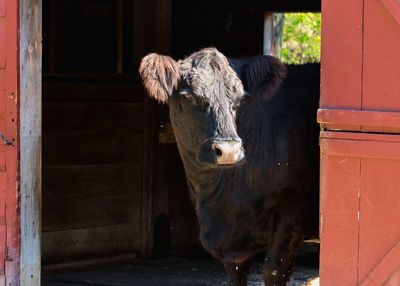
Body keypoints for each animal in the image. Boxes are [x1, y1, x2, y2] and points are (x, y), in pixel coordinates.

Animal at [139, 48, 320, 284]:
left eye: (241, 98)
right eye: (188, 96)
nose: (229, 150)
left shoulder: (291, 212)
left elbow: (273, 270)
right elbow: (236, 273)